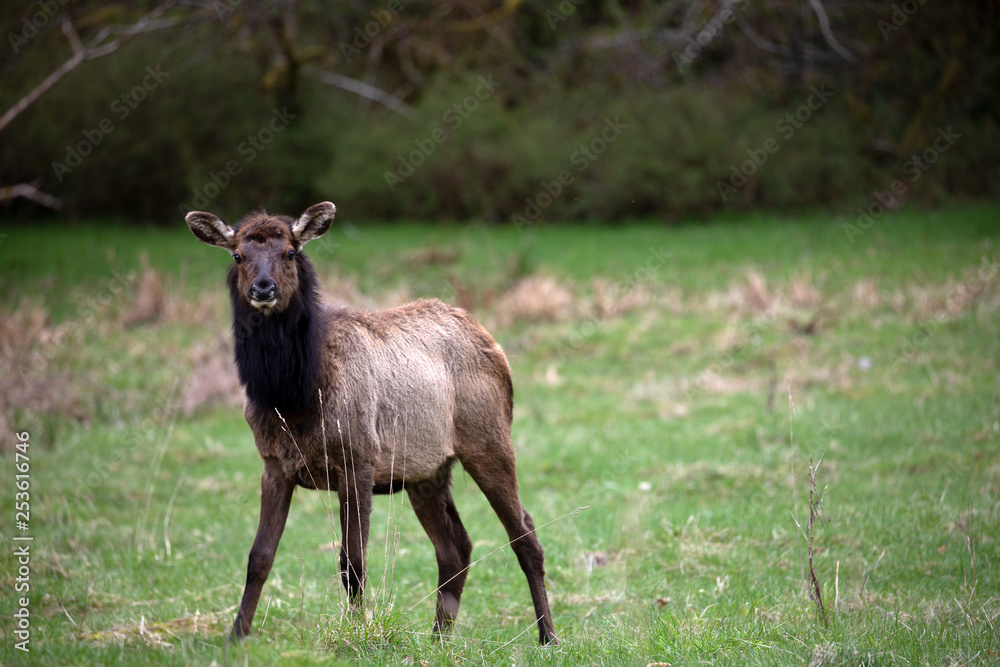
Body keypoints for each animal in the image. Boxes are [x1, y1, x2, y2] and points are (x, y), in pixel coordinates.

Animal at [185, 204, 560, 648]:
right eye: (238, 255)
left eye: (291, 252)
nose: (263, 288)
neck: (294, 398)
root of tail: (493, 343)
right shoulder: (273, 464)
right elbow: (259, 557)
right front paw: (236, 636)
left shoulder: (358, 458)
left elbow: (353, 563)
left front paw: (357, 631)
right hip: (426, 471)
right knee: (456, 546)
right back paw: (438, 636)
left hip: (489, 438)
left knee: (525, 533)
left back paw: (549, 636)